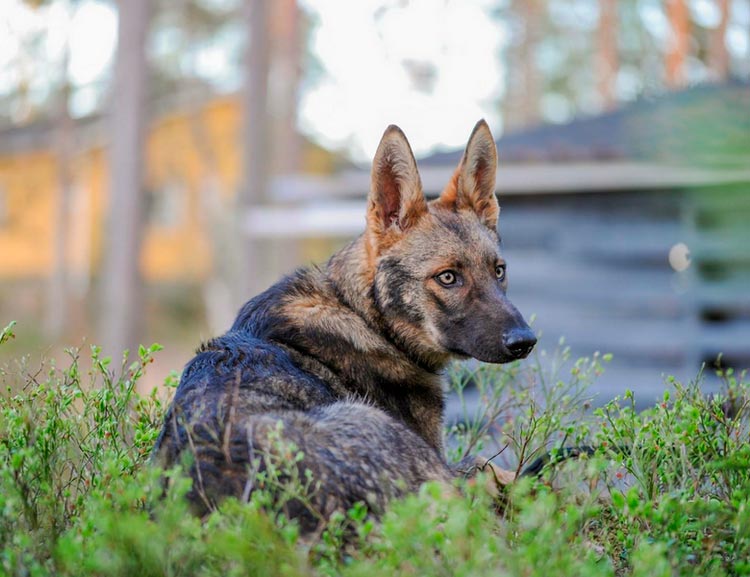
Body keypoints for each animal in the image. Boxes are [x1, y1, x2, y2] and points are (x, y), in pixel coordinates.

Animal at [152, 120, 537, 533]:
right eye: (448, 277)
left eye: (499, 271)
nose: (525, 342)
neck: (365, 314)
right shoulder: (445, 463)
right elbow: (496, 469)